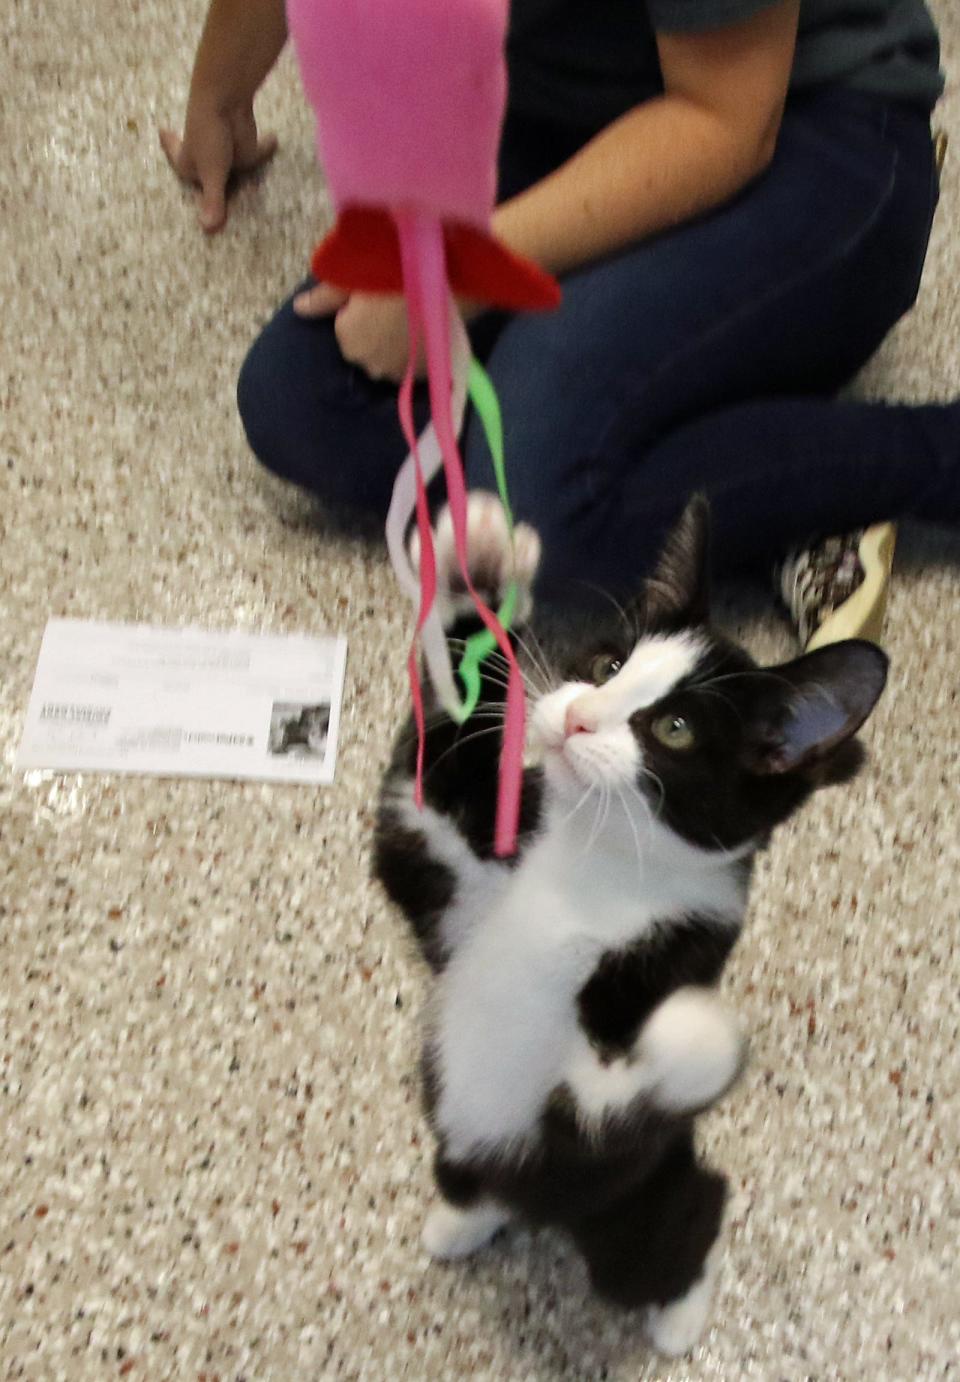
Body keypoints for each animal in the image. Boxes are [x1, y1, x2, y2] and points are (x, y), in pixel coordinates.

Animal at [372, 494, 884, 1348]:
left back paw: (681, 1316)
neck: (591, 873)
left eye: (674, 729)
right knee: (474, 1179)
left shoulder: (616, 1089)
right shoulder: (459, 877)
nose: (576, 715)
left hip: (633, 1206)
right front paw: (479, 571)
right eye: (610, 666)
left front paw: (700, 1028)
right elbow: (428, 771)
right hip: (465, 1147)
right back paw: (460, 1221)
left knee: (689, 1219)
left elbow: (637, 1084)